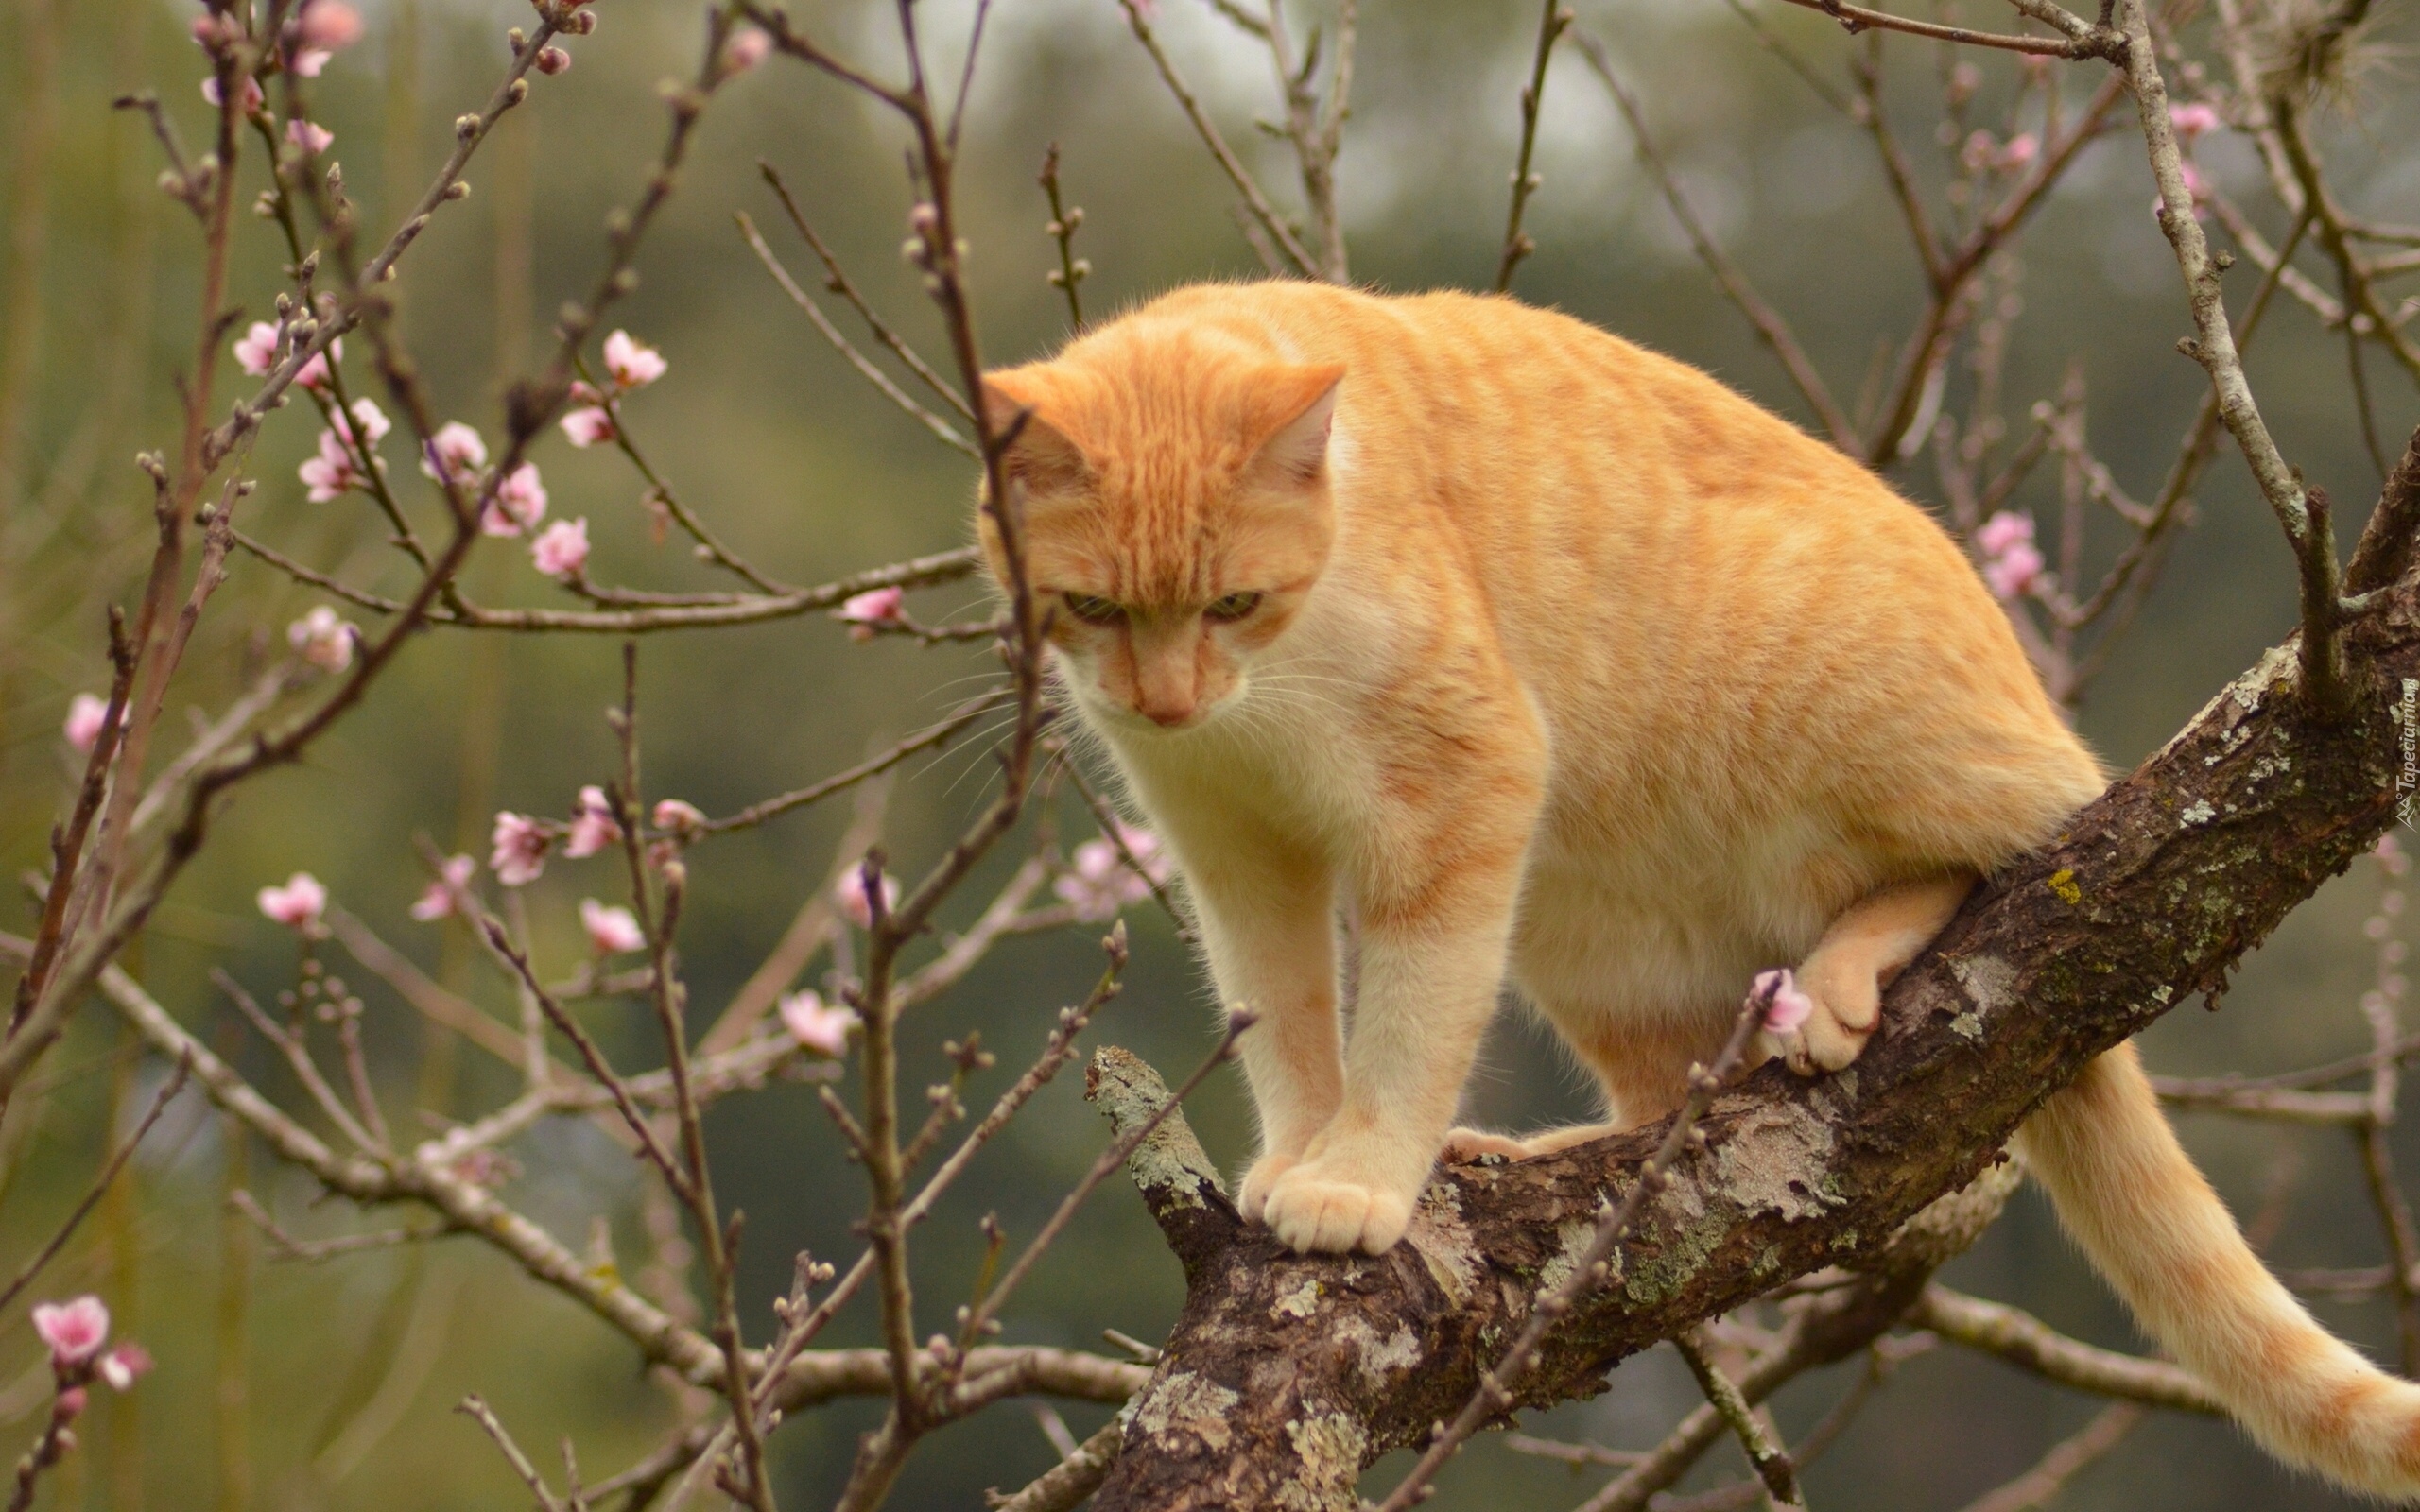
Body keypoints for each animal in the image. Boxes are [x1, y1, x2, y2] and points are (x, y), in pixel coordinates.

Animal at [973, 280, 2420, 1489]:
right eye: (1095, 610)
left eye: (1232, 603)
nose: (1169, 702)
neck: (1267, 697)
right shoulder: (1235, 850)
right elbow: (1281, 1018)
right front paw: (1303, 1151)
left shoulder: (1468, 793)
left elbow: (1408, 1021)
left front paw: (1363, 1177)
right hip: (1577, 921)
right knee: (1664, 1100)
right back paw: (1528, 1151)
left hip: (1835, 733)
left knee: (1983, 851)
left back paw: (1844, 972)